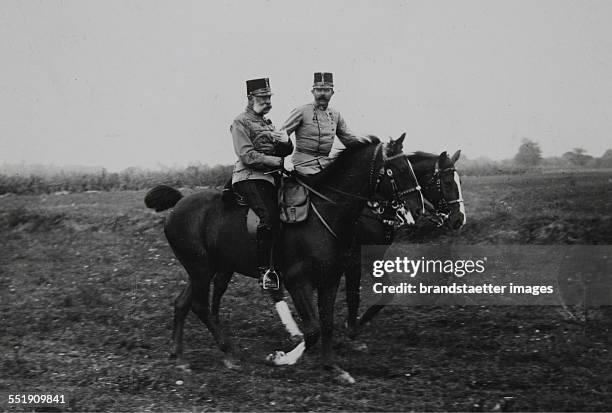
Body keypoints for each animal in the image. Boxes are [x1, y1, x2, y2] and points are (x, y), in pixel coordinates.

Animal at [144, 138, 424, 384]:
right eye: (397, 170)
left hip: (206, 268)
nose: (418, 210)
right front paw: (281, 358)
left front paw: (333, 368)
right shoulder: (296, 280)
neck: (324, 214)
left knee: (183, 303)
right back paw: (228, 352)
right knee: (199, 305)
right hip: (202, 268)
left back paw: (181, 356)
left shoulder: (330, 279)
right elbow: (312, 330)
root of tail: (180, 202)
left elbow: (327, 324)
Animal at [344, 150, 464, 340]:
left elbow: (388, 292)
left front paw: (361, 320)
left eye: (460, 182)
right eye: (447, 182)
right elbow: (353, 293)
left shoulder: (374, 256)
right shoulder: (356, 257)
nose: (460, 218)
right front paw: (352, 325)